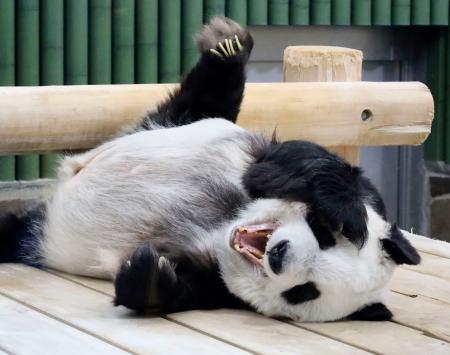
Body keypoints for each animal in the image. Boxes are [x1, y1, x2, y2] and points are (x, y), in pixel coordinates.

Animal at [1, 16, 420, 322]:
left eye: (304, 291)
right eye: (322, 233)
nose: (279, 254)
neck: (225, 224)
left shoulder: (216, 281)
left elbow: (186, 288)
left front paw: (149, 276)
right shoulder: (265, 158)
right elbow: (298, 163)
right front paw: (348, 213)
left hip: (30, 234)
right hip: (174, 123)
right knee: (206, 98)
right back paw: (228, 47)